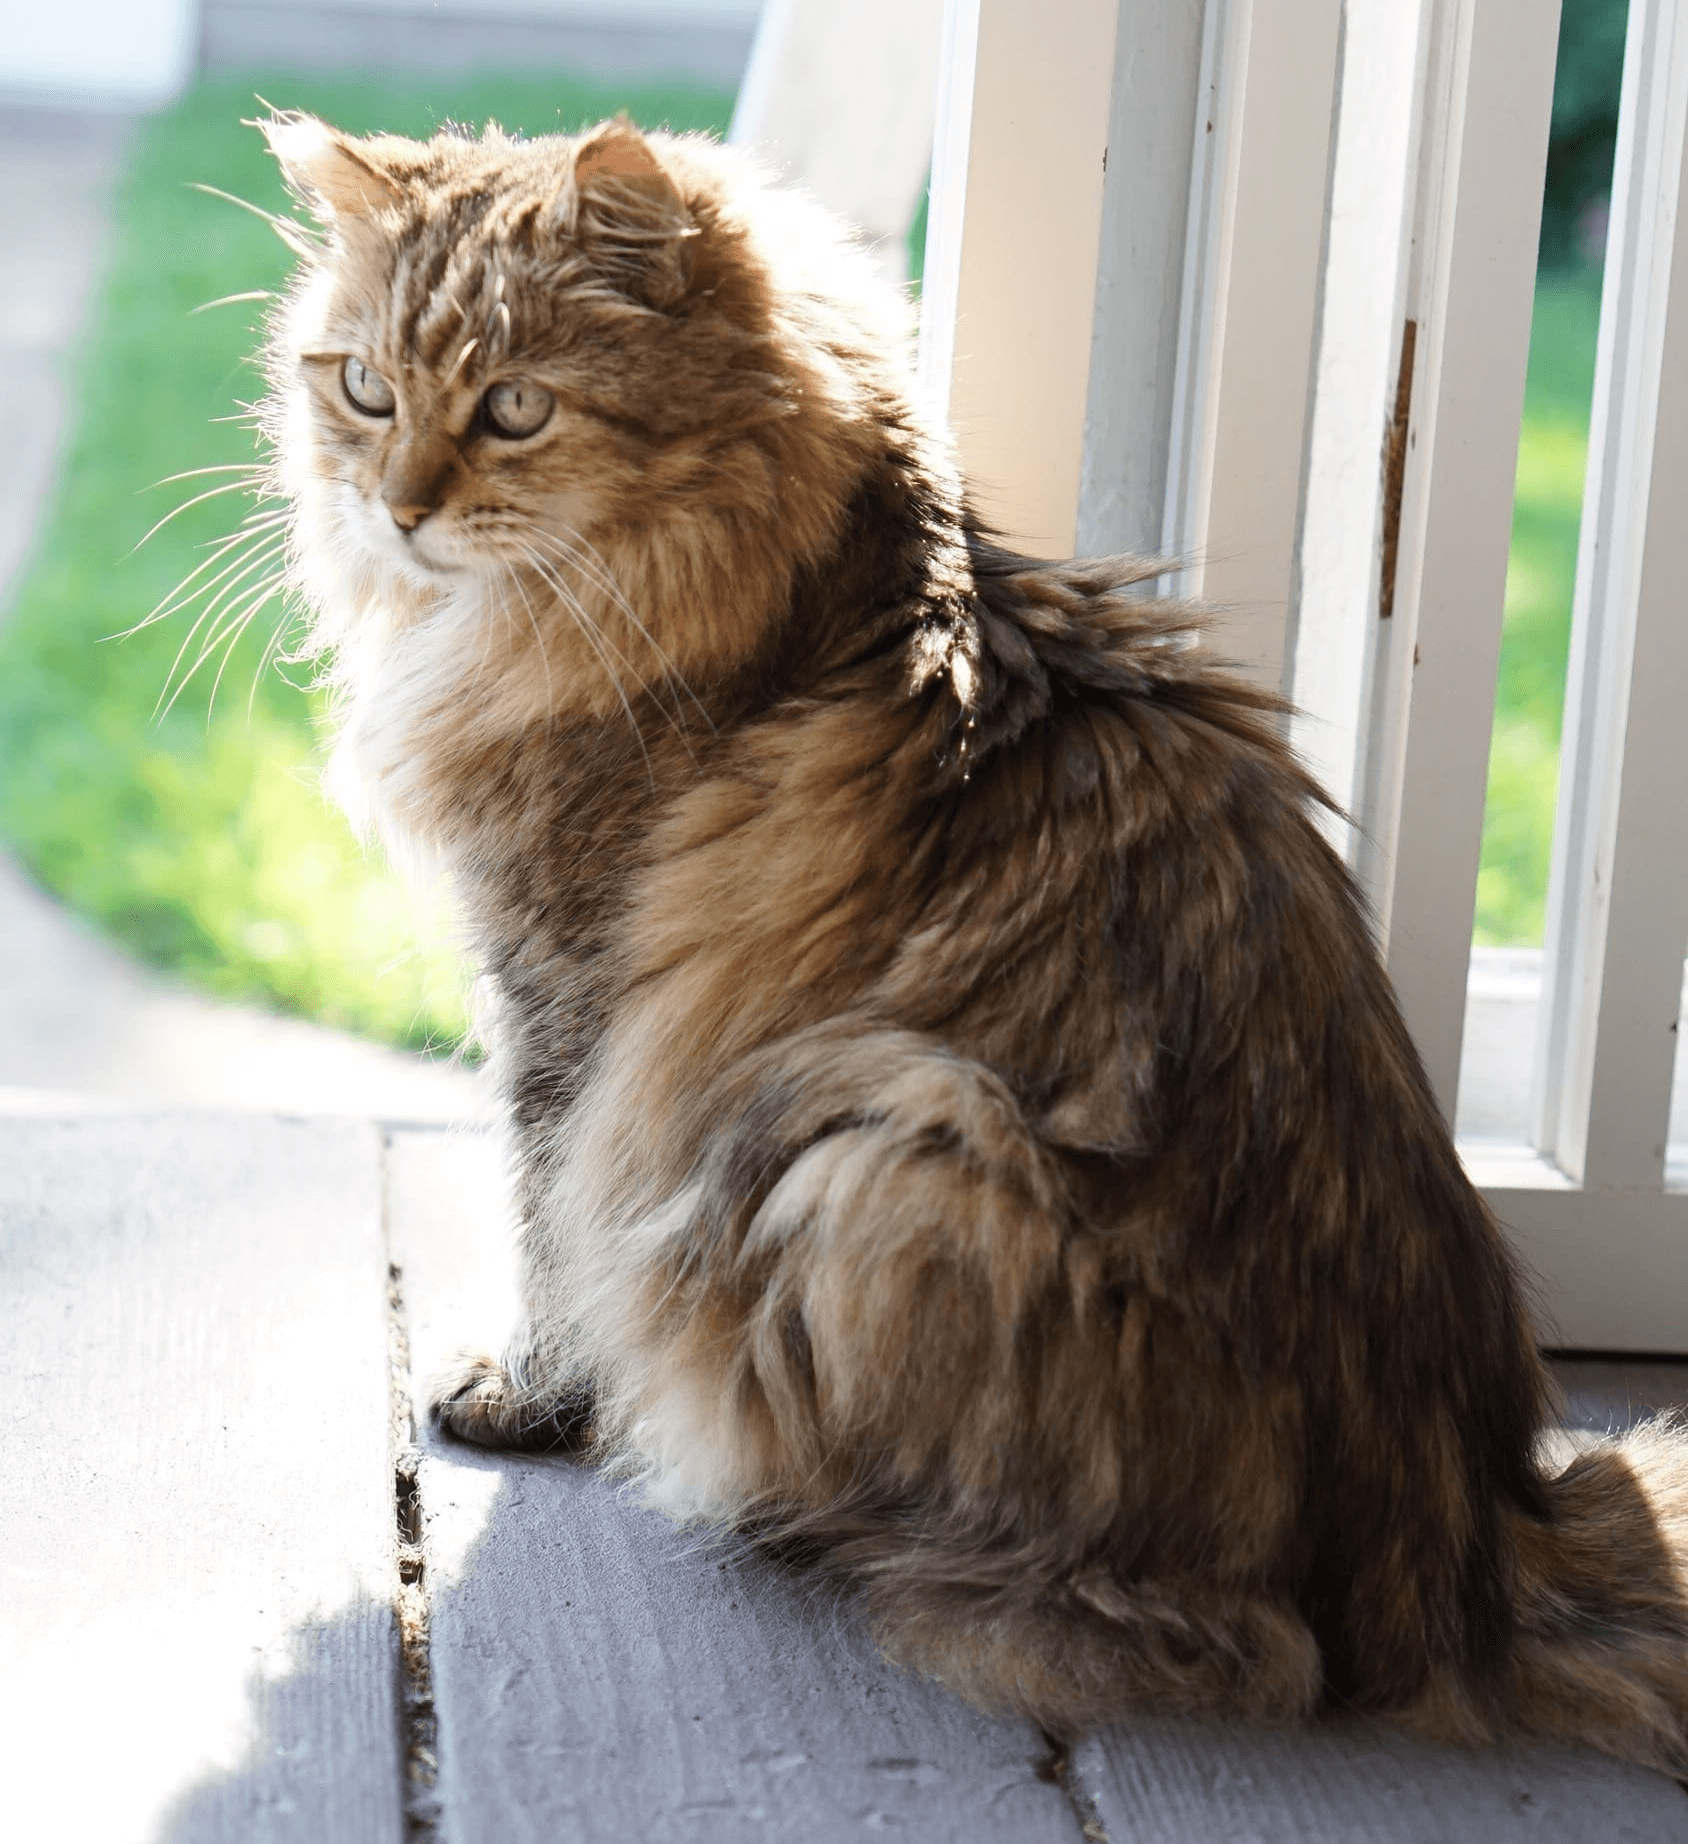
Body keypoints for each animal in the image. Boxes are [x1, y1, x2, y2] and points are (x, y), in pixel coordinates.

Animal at [254, 107, 1688, 1762]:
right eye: (364, 389)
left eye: (513, 408)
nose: (398, 506)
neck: (820, 595)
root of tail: (1476, 1541)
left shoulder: (569, 998)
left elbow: (555, 1227)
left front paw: (535, 1404)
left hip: (881, 1146)